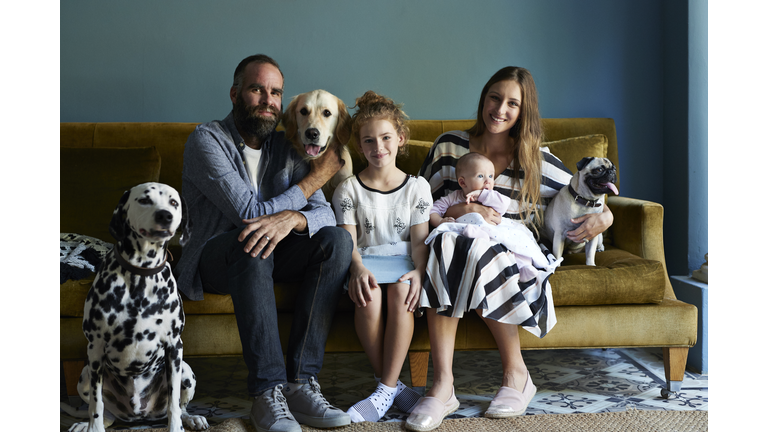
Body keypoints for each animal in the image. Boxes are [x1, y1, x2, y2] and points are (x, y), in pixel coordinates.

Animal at [63, 183, 208, 432]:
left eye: (173, 202)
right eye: (144, 200)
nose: (165, 216)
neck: (142, 274)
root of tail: (139, 416)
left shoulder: (174, 347)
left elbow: (174, 404)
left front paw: (175, 427)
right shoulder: (95, 347)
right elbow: (96, 404)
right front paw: (93, 427)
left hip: (186, 371)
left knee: (181, 406)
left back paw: (191, 419)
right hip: (84, 375)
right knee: (105, 412)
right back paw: (85, 424)